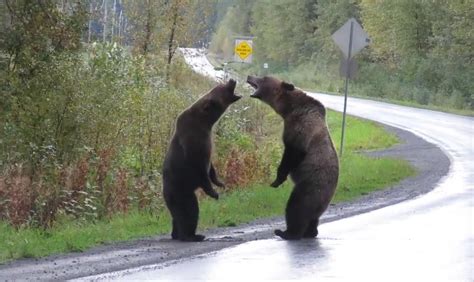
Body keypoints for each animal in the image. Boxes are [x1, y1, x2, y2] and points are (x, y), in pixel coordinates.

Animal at [165, 78, 243, 241]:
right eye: (221, 87)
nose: (232, 80)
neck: (205, 123)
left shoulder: (206, 146)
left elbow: (210, 167)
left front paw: (220, 182)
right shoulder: (194, 145)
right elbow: (201, 171)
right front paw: (214, 193)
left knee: (177, 216)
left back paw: (177, 234)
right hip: (180, 191)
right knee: (188, 211)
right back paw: (191, 236)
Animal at [246, 75, 338, 240]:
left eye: (263, 77)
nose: (249, 76)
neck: (289, 109)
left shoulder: (300, 127)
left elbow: (292, 153)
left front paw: (277, 180)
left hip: (310, 186)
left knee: (296, 207)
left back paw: (286, 232)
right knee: (313, 217)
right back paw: (310, 232)